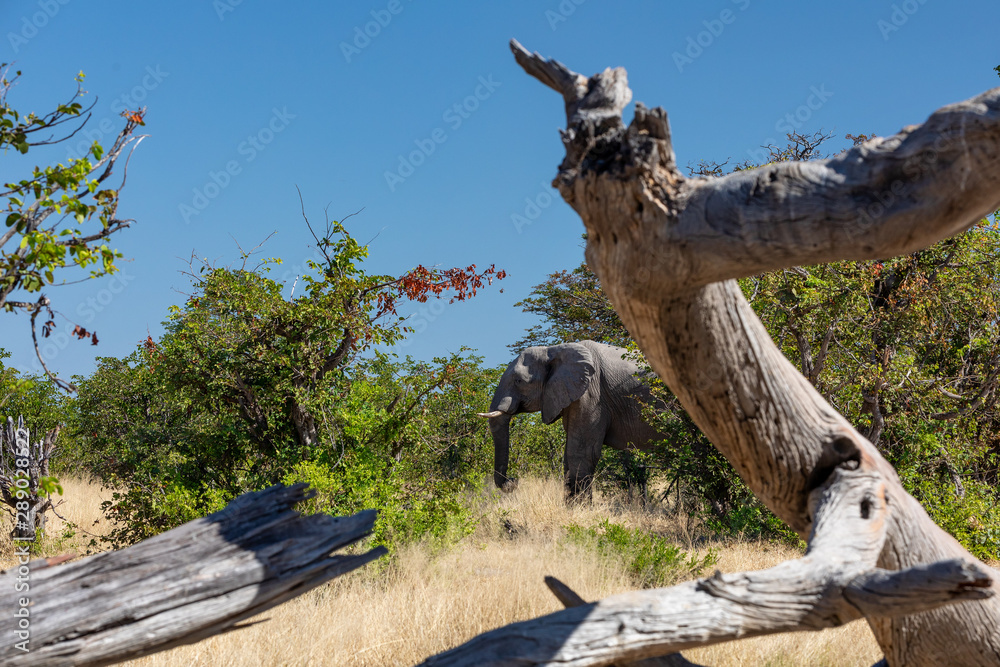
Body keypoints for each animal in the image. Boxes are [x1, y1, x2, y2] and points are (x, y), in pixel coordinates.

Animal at [478, 340, 667, 500]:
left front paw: (581, 510)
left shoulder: (591, 395)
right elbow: (568, 456)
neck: (553, 349)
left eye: (518, 381)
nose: (513, 480)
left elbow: (581, 453)